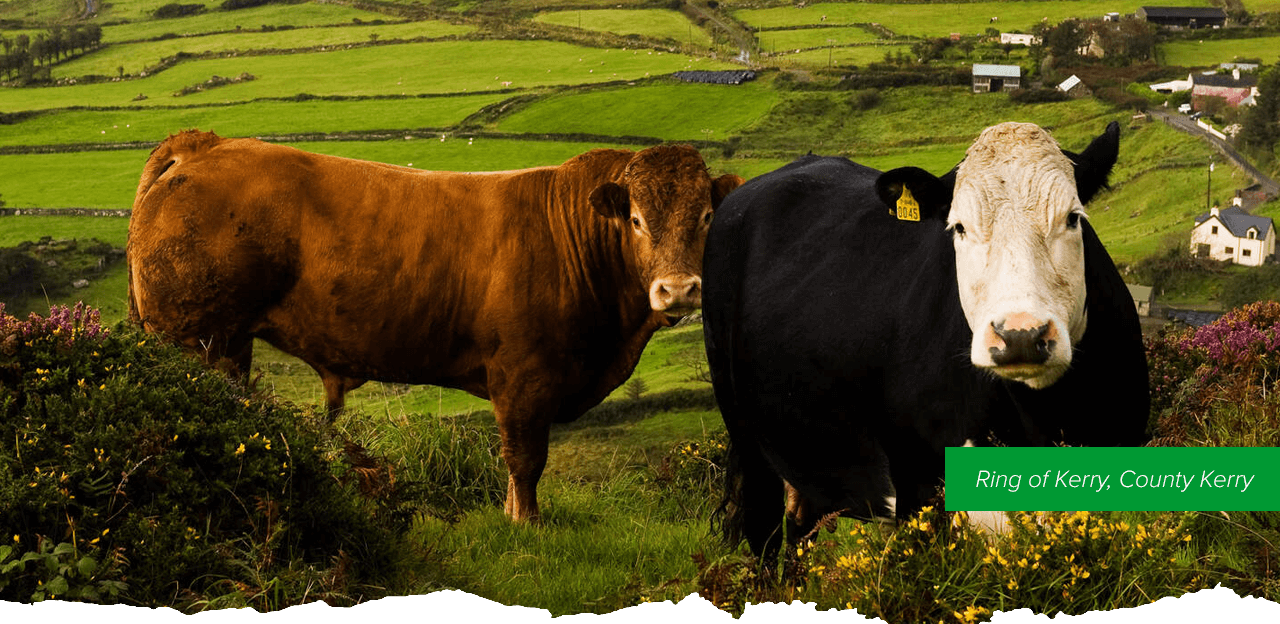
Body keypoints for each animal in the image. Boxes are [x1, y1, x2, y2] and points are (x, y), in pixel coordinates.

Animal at [128, 131, 742, 521]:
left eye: (707, 216)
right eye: (636, 219)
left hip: (227, 346)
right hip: (195, 341)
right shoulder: (522, 376)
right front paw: (526, 523)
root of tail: (207, 144)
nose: (678, 290)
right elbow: (525, 460)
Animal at [701, 122, 1152, 560]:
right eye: (959, 227)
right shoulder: (917, 488)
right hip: (747, 438)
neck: (1043, 419)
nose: (1020, 335)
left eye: (1073, 218)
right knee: (764, 536)